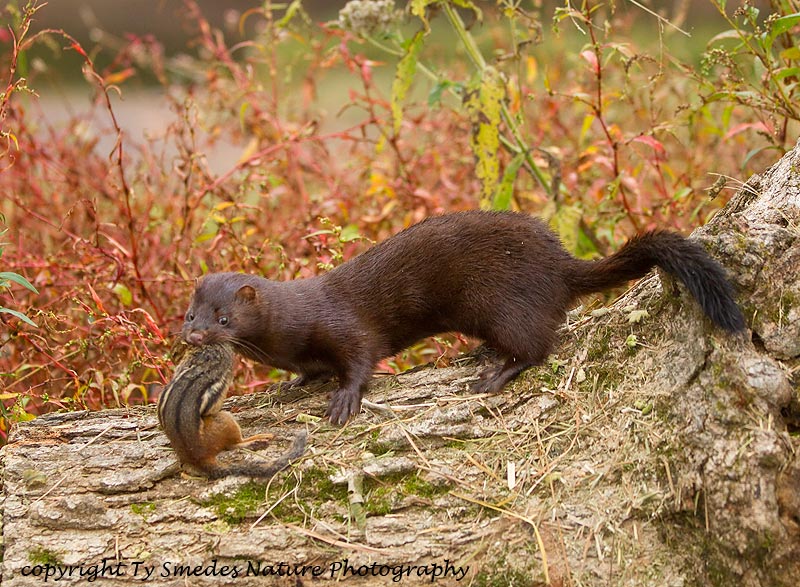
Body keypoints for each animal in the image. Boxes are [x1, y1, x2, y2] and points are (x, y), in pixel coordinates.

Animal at [180, 210, 746, 426]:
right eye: (189, 313)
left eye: (224, 318)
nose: (194, 334)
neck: (291, 332)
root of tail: (560, 263)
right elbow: (309, 371)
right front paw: (291, 385)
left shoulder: (345, 326)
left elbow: (361, 359)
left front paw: (343, 400)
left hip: (502, 303)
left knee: (537, 344)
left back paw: (493, 372)